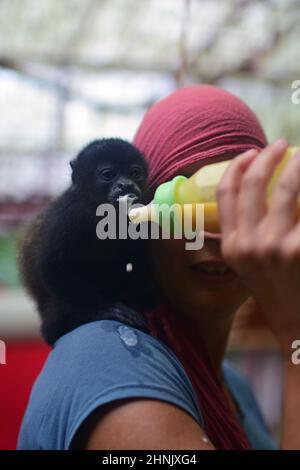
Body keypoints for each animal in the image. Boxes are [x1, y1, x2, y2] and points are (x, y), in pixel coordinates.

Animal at [19, 139, 159, 346]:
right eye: (108, 175)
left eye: (135, 173)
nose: (127, 185)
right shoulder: (70, 215)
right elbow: (52, 265)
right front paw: (102, 311)